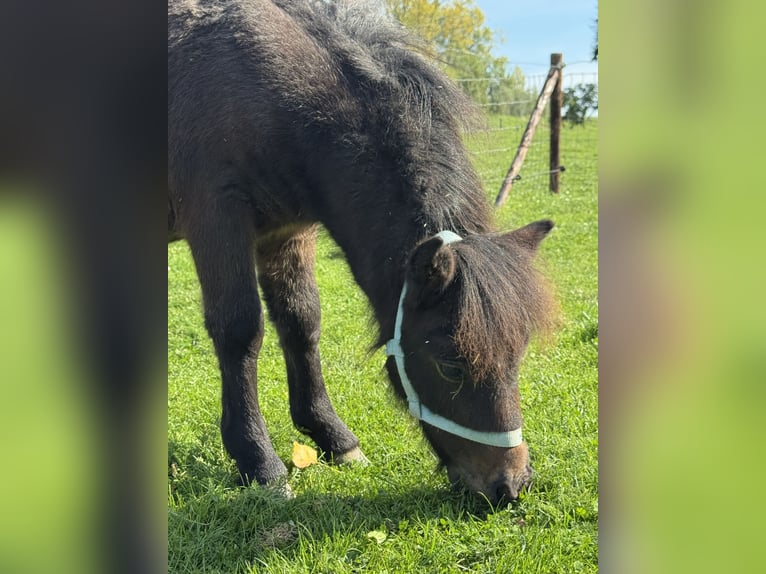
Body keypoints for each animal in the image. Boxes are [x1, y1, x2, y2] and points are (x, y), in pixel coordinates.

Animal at [168, 0, 556, 504]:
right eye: (451, 365)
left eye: (519, 351)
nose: (510, 485)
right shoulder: (216, 217)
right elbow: (240, 329)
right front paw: (258, 460)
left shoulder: (286, 232)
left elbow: (301, 320)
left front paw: (332, 436)